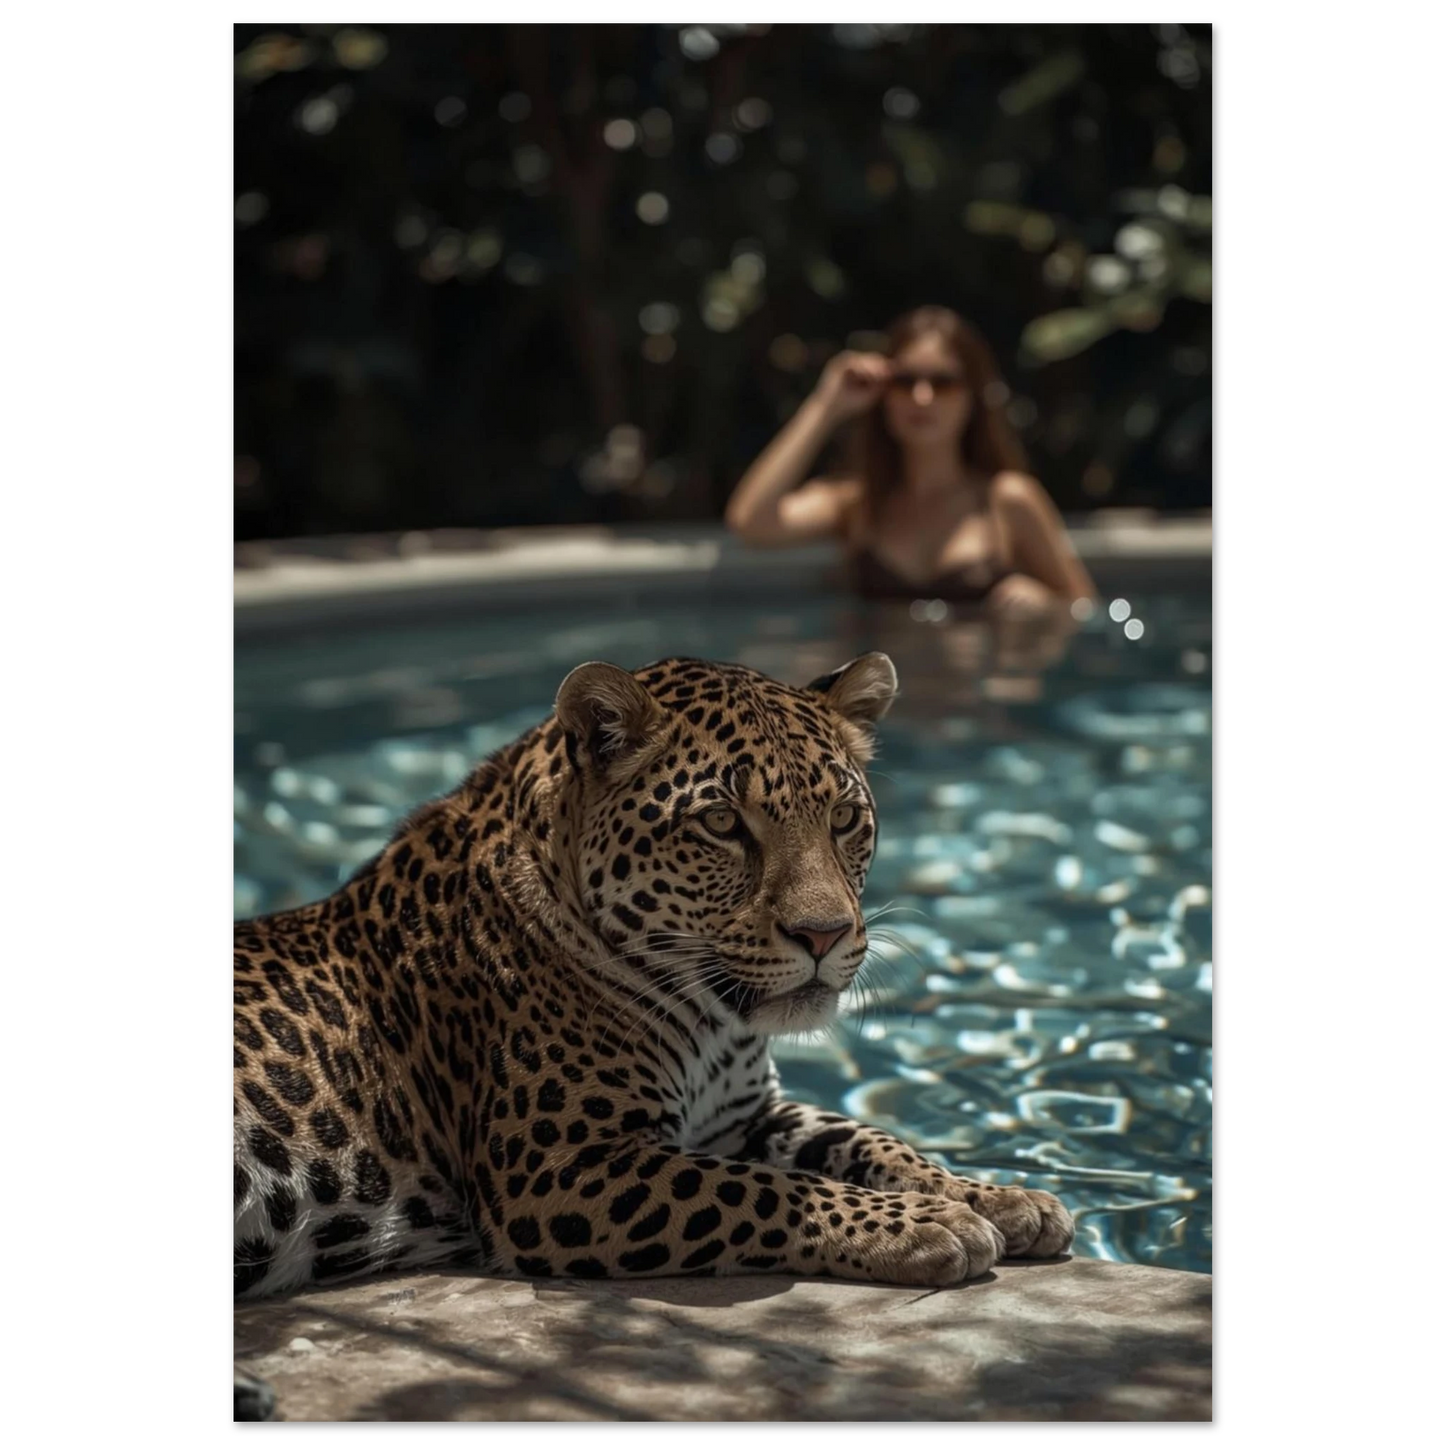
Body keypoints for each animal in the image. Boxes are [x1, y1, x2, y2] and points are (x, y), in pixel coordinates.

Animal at [232, 653, 1073, 1416]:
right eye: (721, 823)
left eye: (843, 818)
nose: (824, 933)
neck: (711, 1018)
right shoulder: (558, 1168)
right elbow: (763, 1189)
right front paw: (928, 1224)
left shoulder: (743, 1116)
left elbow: (866, 1139)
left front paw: (995, 1196)